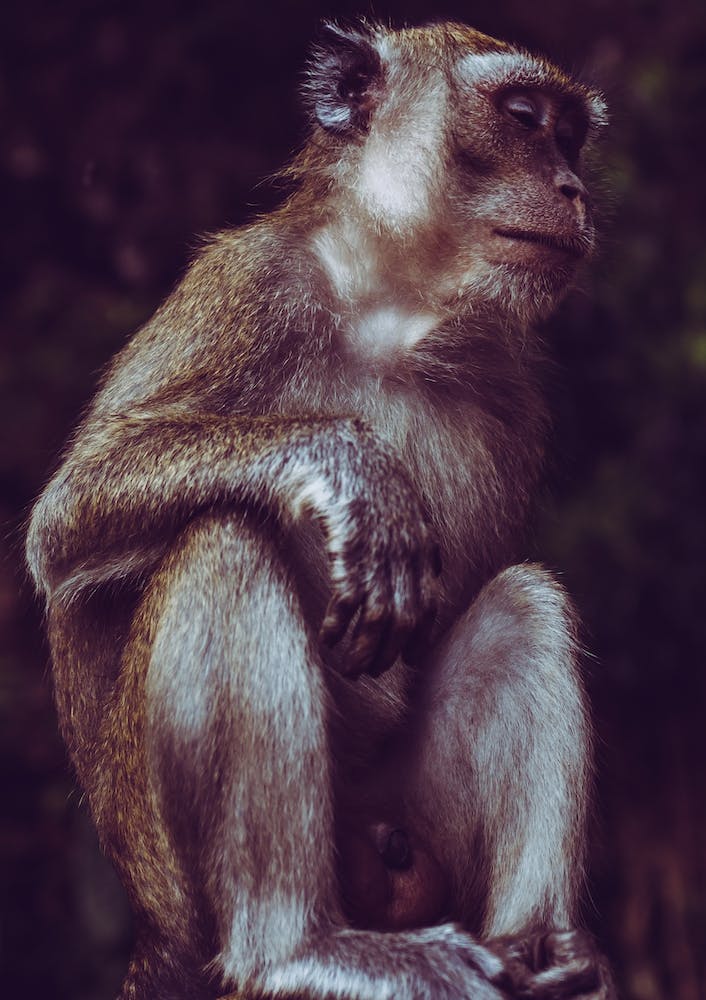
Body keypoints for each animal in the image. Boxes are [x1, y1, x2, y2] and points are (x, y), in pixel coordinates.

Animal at [27, 19, 616, 1000]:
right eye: (524, 119)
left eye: (570, 139)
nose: (570, 189)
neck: (395, 304)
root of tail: (152, 939)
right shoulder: (246, 288)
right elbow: (67, 520)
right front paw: (350, 467)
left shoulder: (511, 386)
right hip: (172, 874)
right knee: (227, 538)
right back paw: (292, 945)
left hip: (392, 830)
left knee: (521, 605)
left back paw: (541, 950)